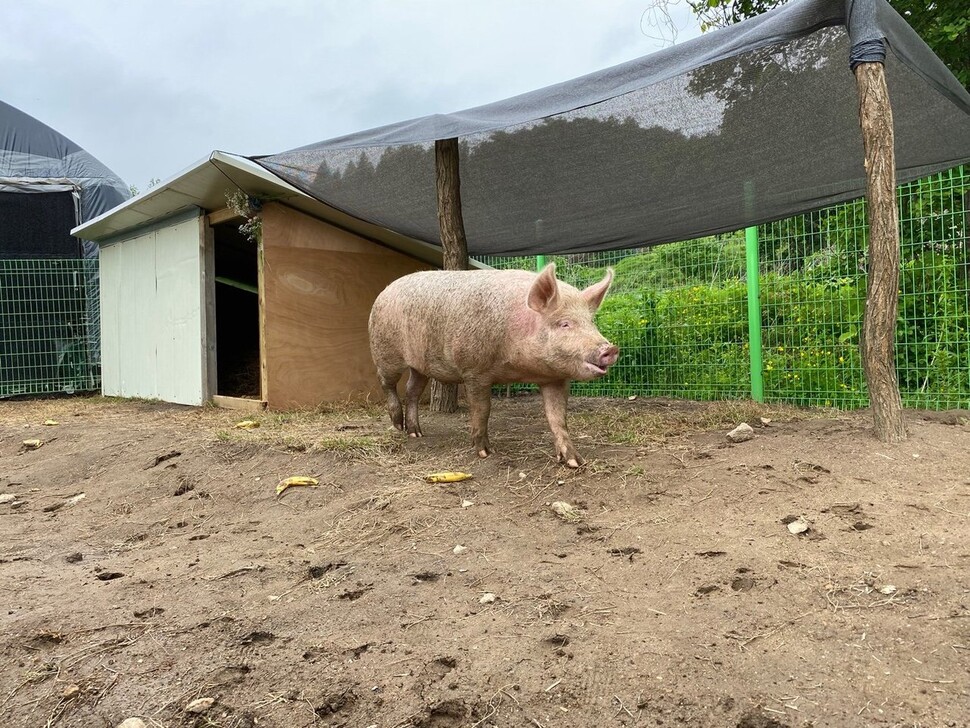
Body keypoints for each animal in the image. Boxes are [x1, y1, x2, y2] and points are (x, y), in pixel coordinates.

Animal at [366, 264, 616, 470]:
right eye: (564, 323)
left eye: (591, 322)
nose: (610, 349)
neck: (520, 369)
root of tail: (383, 292)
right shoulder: (474, 371)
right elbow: (482, 410)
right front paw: (485, 453)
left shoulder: (554, 378)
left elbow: (557, 417)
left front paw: (575, 462)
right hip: (385, 350)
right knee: (385, 381)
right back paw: (397, 425)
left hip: (420, 365)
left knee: (412, 390)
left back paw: (416, 433)